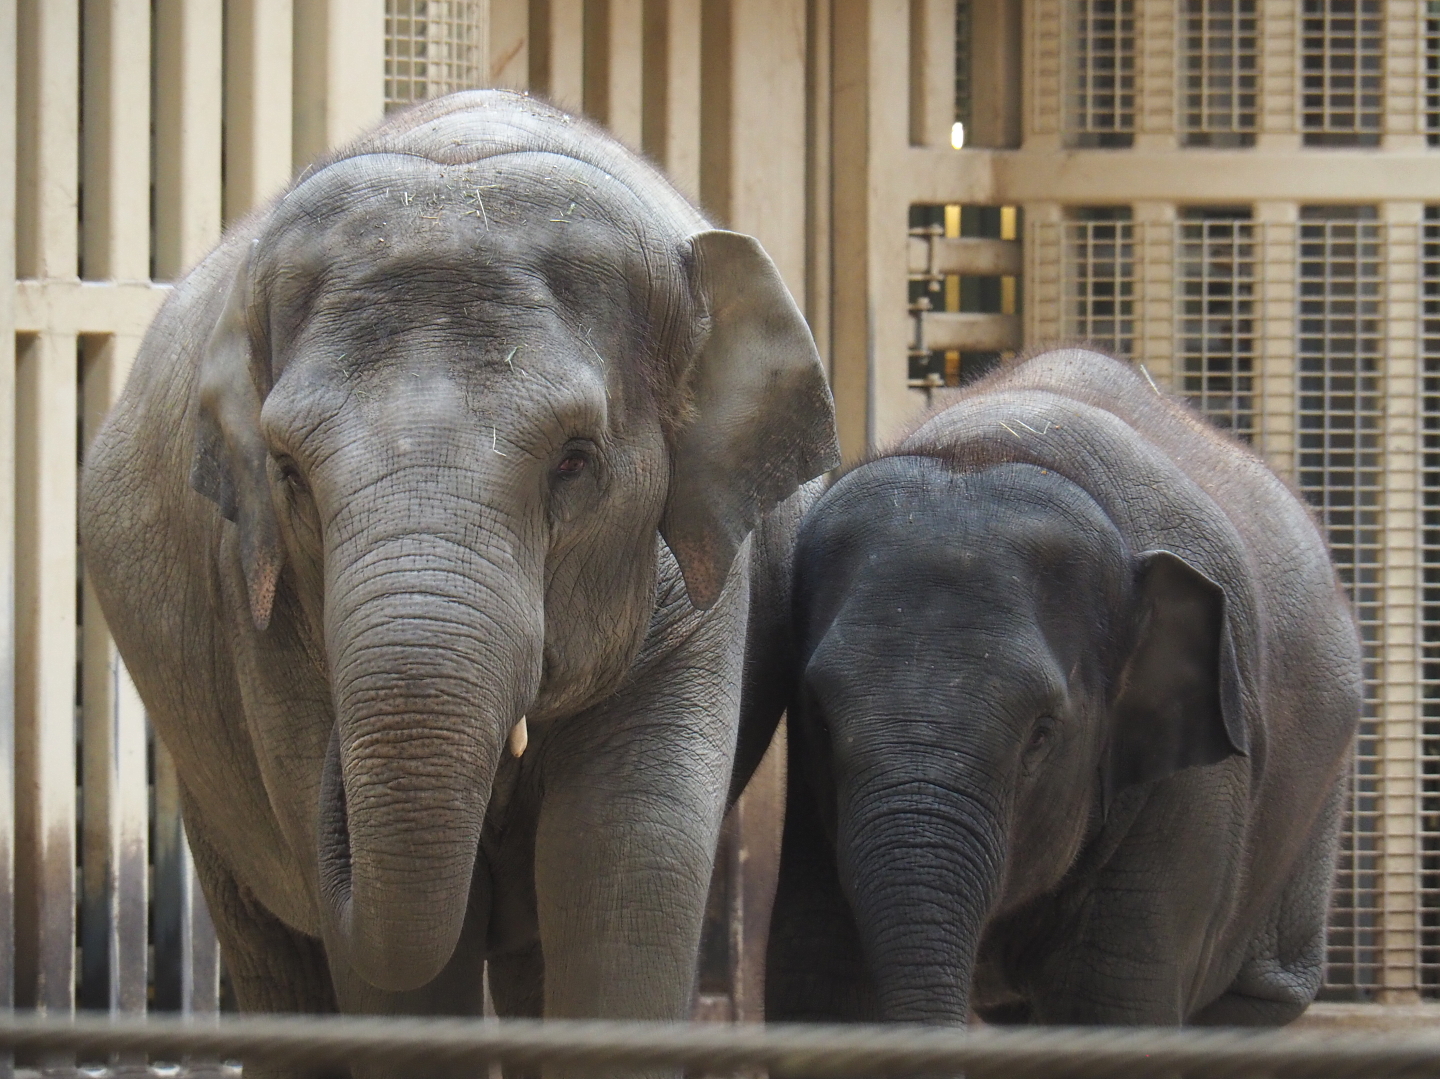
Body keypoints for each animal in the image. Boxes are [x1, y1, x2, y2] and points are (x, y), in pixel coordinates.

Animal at [80, 89, 837, 1070]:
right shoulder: (260, 607)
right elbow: (405, 978)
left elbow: (626, 855)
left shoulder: (694, 599)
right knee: (276, 955)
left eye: (575, 460)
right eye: (286, 471)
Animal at [758, 348, 1359, 1028]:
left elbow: (1105, 1003)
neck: (990, 445)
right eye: (819, 720)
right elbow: (820, 979)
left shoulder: (1200, 779)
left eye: (1042, 735)